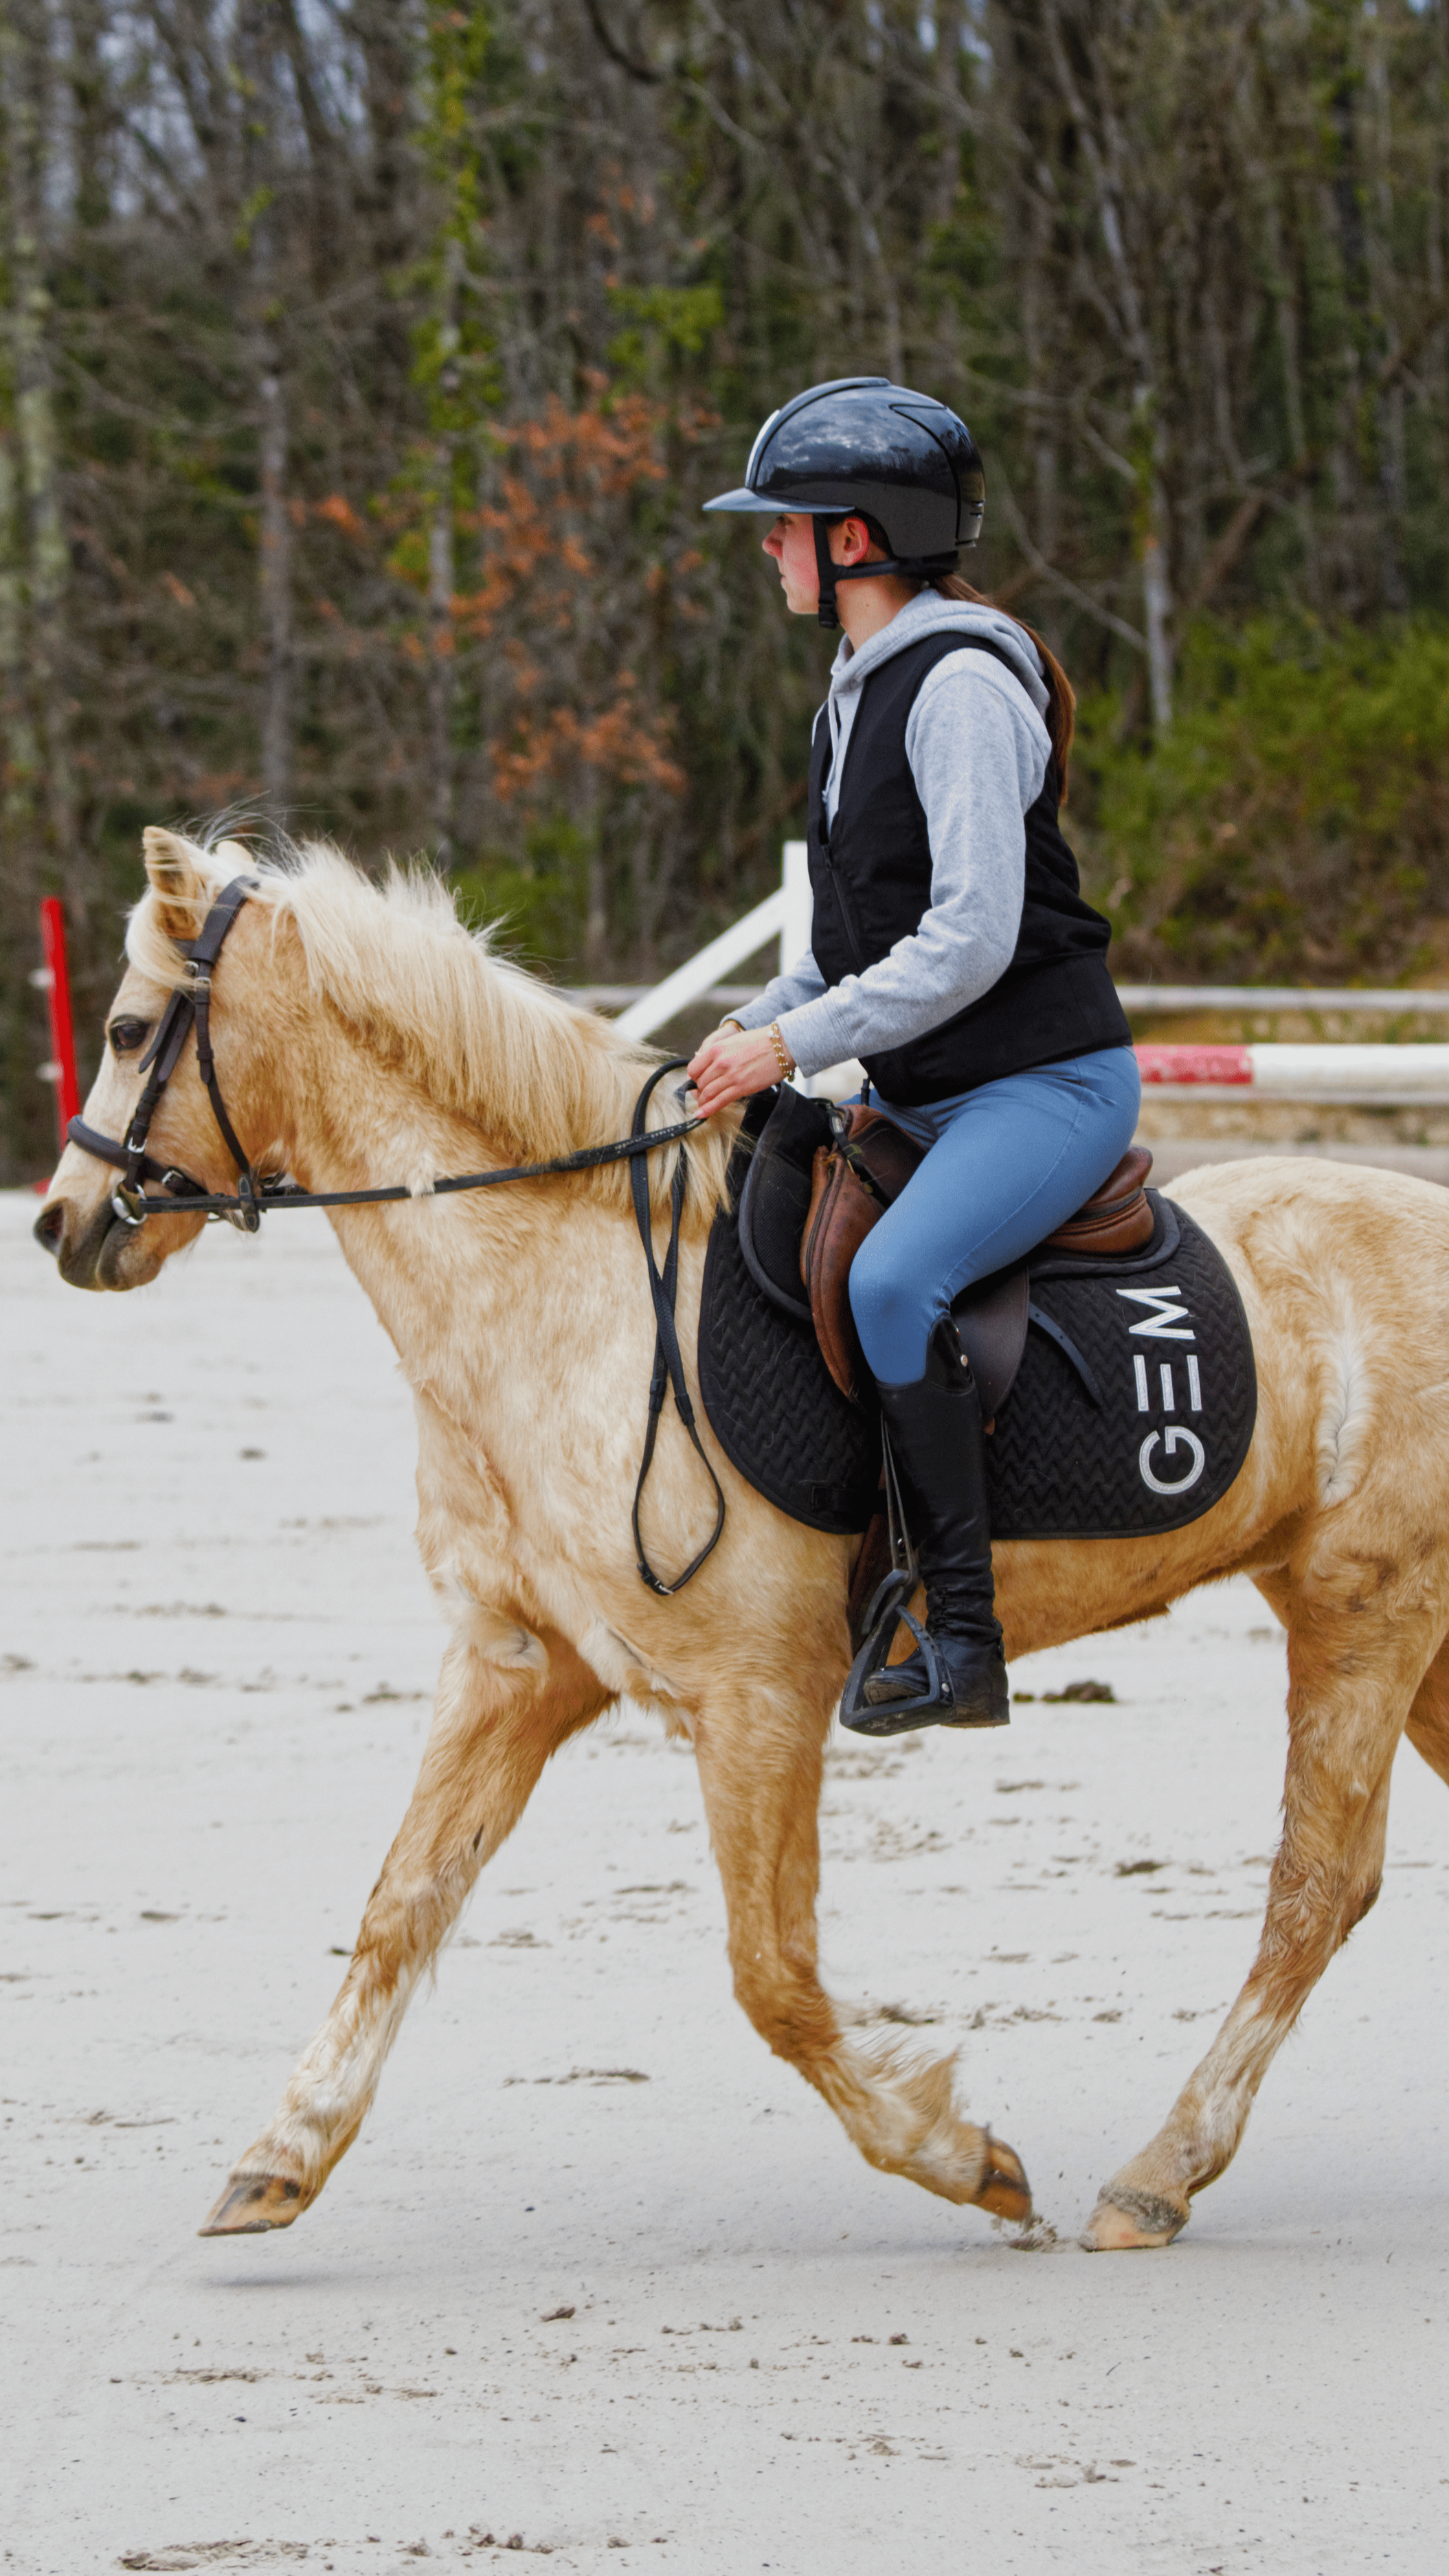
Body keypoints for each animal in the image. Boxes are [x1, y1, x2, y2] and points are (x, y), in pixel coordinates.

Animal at [34, 825, 1449, 2254]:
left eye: (130, 1027)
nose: (61, 1222)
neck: (558, 1297)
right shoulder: (515, 1667)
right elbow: (402, 1903)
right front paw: (282, 2154)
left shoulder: (755, 1697)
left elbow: (770, 1975)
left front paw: (961, 2159)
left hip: (1364, 1609)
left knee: (1312, 1887)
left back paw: (1155, 2173)